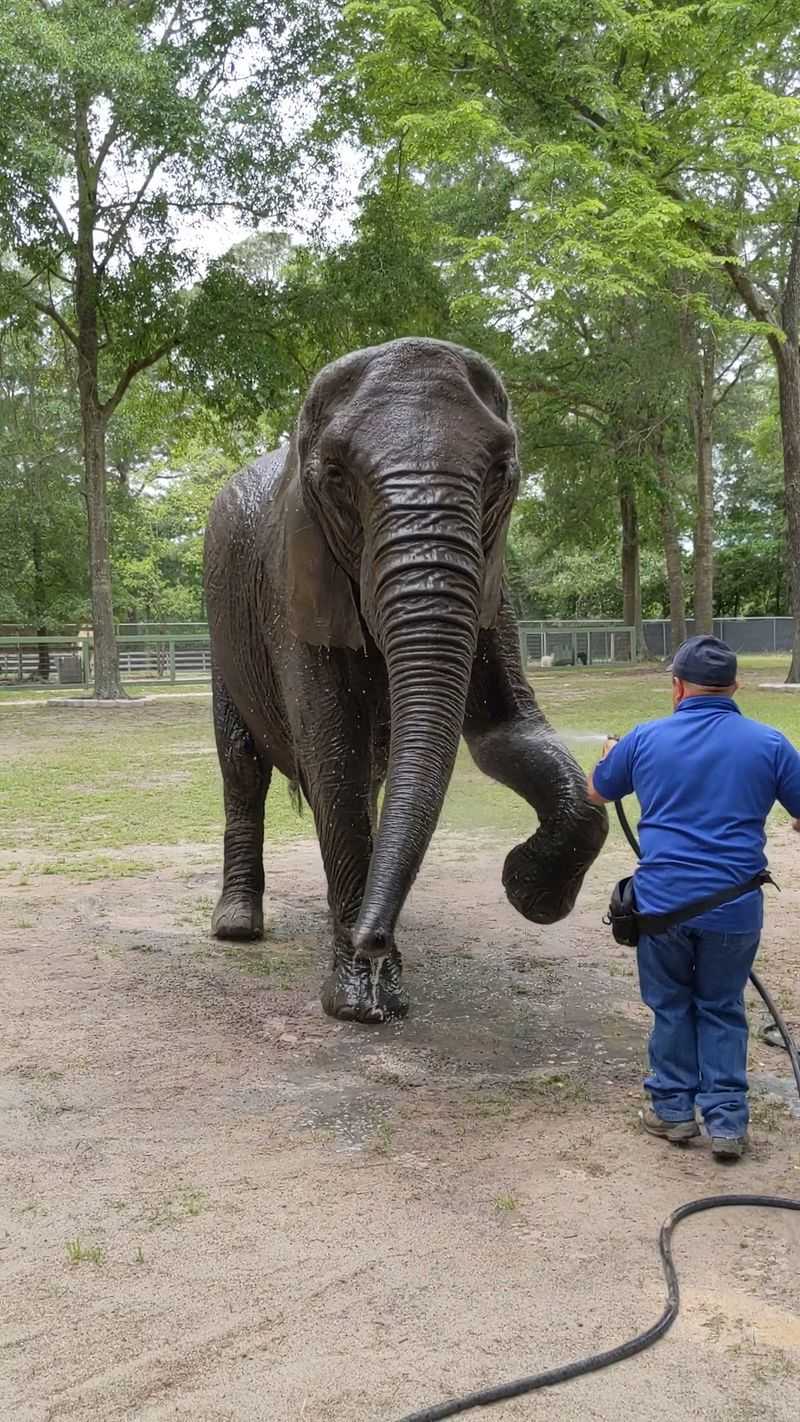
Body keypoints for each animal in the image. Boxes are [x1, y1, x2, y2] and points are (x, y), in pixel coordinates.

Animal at [204, 337, 608, 1023]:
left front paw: (527, 890)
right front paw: (359, 1000)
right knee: (243, 766)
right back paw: (237, 926)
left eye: (503, 470)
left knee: (366, 775)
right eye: (335, 476)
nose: (371, 937)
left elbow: (506, 733)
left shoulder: (492, 589)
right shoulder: (292, 583)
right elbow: (331, 754)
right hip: (221, 635)